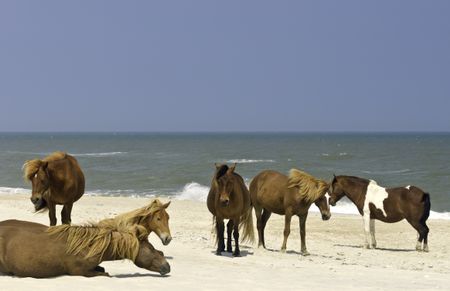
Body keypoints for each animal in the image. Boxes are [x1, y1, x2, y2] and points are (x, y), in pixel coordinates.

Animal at [0, 220, 170, 280]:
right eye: (152, 248)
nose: (167, 266)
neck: (88, 246)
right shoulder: (80, 271)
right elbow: (105, 274)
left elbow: (102, 269)